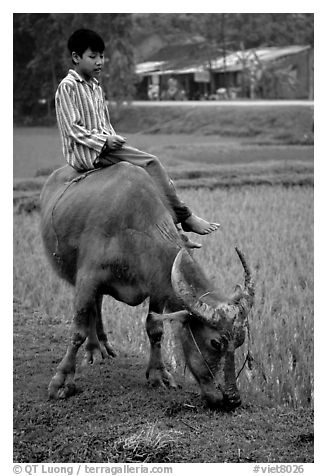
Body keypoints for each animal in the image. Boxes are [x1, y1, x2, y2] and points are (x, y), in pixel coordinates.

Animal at [41, 164, 255, 410]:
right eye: (215, 342)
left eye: (240, 342)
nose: (232, 399)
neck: (132, 231)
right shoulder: (87, 278)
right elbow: (78, 330)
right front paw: (61, 381)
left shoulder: (157, 285)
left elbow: (155, 329)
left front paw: (158, 374)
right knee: (92, 309)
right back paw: (94, 349)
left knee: (98, 303)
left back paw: (103, 346)